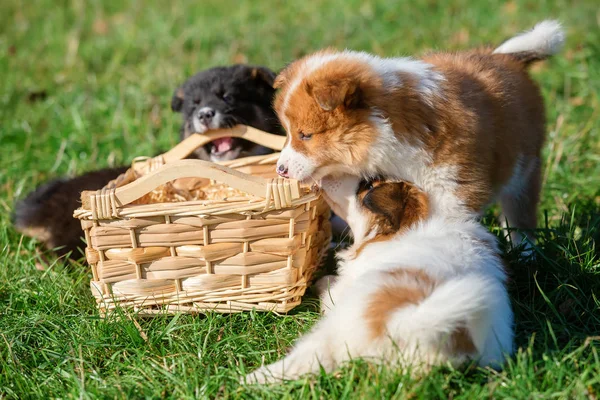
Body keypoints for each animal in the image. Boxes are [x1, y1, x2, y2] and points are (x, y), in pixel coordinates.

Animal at [246, 176, 512, 384]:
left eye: (367, 186)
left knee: (307, 359)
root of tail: (411, 325)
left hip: (334, 331)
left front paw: (321, 279)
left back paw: (251, 380)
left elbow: (331, 285)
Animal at [274, 21, 564, 248]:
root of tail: (506, 58)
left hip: (524, 172)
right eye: (288, 133)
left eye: (306, 135)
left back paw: (525, 254)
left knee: (520, 219)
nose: (280, 170)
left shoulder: (455, 190)